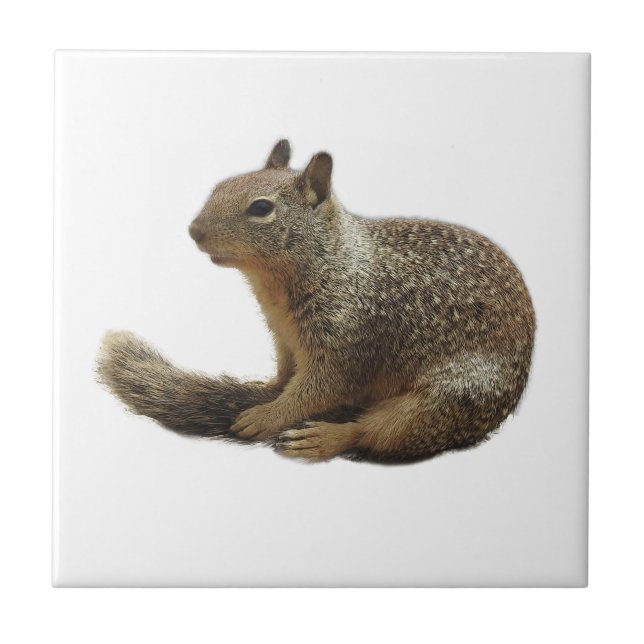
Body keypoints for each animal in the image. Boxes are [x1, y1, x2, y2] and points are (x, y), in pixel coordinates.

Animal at [97, 139, 535, 464]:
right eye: (220, 187)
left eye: (261, 208)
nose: (194, 230)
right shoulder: (283, 336)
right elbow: (286, 373)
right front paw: (266, 389)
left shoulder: (348, 336)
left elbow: (319, 388)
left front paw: (267, 414)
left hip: (440, 403)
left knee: (375, 433)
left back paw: (325, 437)